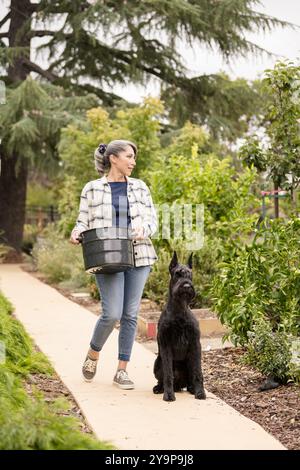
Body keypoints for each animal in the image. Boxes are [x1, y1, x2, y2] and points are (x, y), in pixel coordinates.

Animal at [154, 252, 205, 402]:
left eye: (190, 274)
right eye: (177, 273)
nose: (187, 286)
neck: (180, 309)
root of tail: (179, 385)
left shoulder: (195, 343)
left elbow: (198, 373)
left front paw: (200, 392)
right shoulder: (165, 345)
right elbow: (168, 374)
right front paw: (168, 395)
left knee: (190, 379)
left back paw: (192, 388)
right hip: (157, 364)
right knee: (162, 378)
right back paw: (159, 388)